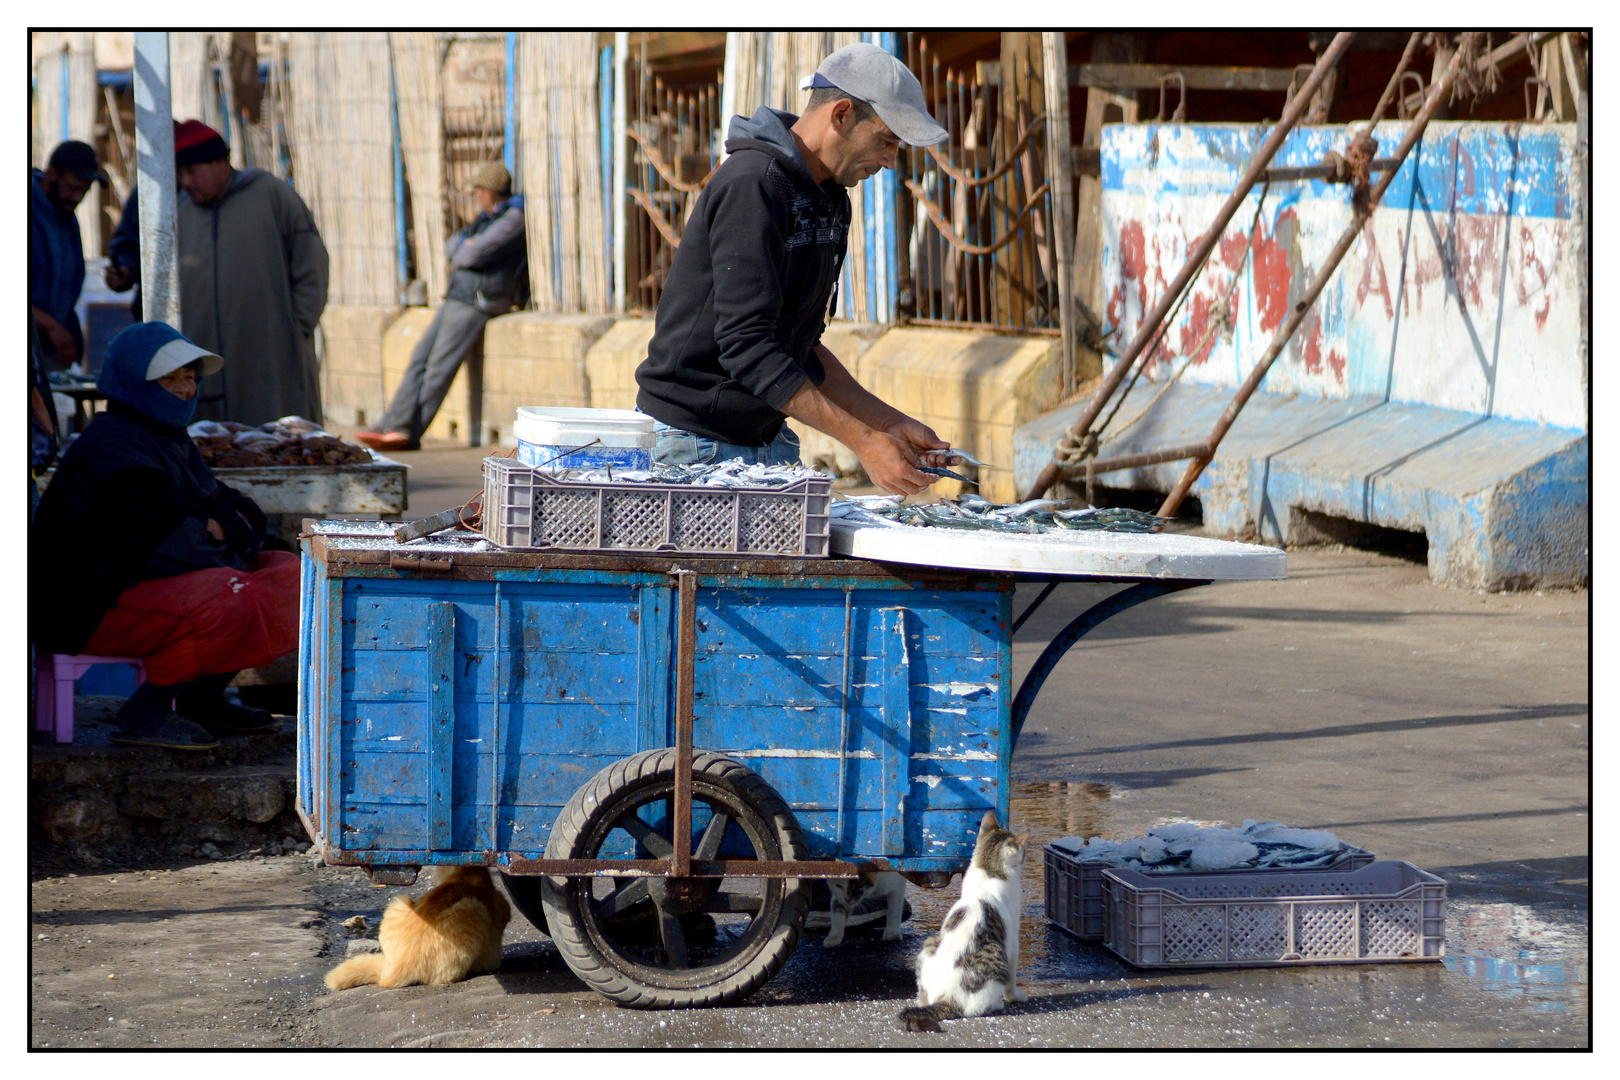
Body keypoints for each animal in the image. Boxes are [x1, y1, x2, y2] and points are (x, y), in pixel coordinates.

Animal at [900, 816, 1023, 1036]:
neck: (990, 872)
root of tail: (947, 995)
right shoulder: (1013, 938)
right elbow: (1013, 977)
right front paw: (1015, 996)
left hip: (928, 946)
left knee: (923, 996)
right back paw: (997, 1004)